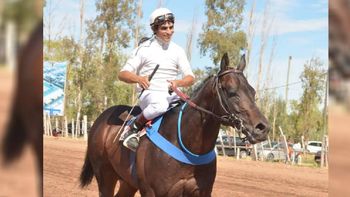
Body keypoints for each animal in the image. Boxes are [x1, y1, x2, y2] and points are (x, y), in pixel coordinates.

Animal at [80, 53, 270, 196]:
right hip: (105, 176)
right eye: (231, 92)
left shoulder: (201, 191)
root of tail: (101, 118)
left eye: (252, 91)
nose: (262, 128)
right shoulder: (153, 192)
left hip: (127, 182)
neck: (185, 144)